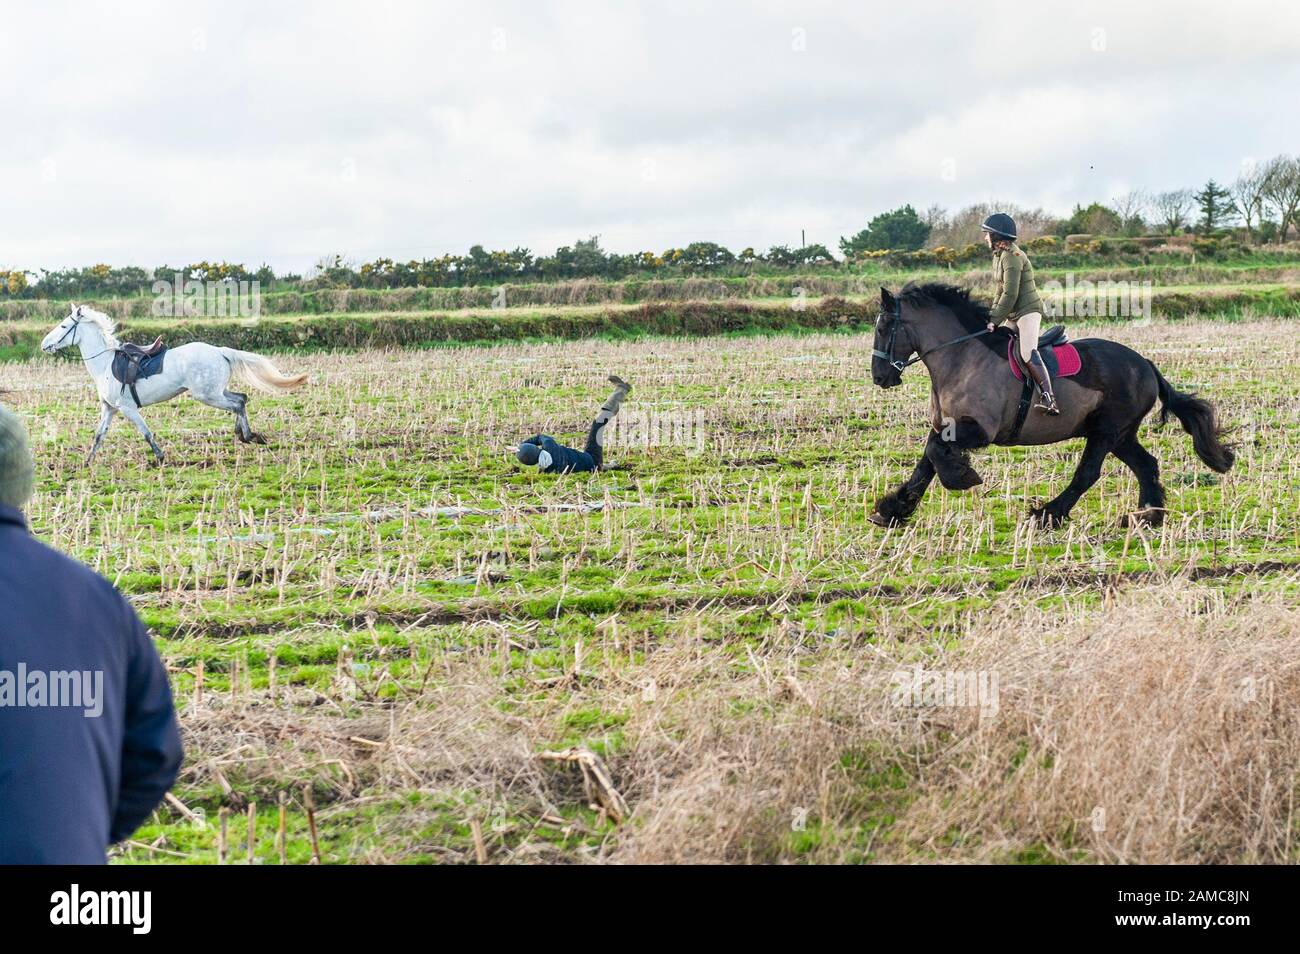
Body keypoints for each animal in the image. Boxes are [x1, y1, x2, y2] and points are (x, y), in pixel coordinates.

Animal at [42, 304, 306, 465]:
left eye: (64, 326)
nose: (44, 344)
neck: (105, 364)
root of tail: (220, 351)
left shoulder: (128, 409)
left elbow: (146, 432)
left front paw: (160, 457)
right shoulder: (110, 408)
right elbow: (99, 435)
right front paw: (87, 462)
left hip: (207, 395)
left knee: (238, 404)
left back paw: (249, 435)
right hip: (215, 392)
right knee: (241, 398)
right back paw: (244, 434)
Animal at [868, 280, 1232, 535]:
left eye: (883, 328)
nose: (879, 376)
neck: (961, 358)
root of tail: (1145, 364)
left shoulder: (979, 430)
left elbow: (937, 456)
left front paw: (962, 476)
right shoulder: (946, 426)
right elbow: (927, 461)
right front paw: (890, 510)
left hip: (1106, 431)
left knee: (1088, 473)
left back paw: (1046, 515)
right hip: (1121, 435)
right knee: (1146, 465)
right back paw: (1146, 516)